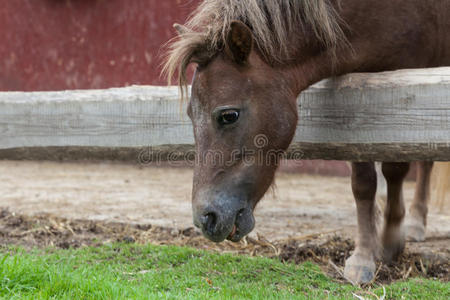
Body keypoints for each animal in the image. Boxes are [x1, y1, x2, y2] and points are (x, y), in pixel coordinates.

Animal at [164, 0, 450, 284]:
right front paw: (362, 258)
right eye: (190, 114)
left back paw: (415, 222)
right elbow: (363, 183)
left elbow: (395, 169)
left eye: (228, 115)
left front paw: (391, 239)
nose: (205, 218)